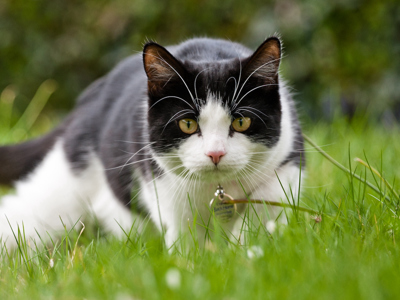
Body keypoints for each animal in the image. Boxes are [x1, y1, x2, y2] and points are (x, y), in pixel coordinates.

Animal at [0, 36, 304, 250]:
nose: (215, 153)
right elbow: (184, 232)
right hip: (66, 183)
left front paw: (245, 245)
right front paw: (196, 262)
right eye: (187, 124)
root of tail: (90, 97)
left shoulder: (290, 155)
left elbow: (270, 197)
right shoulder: (163, 183)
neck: (217, 190)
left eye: (241, 122)